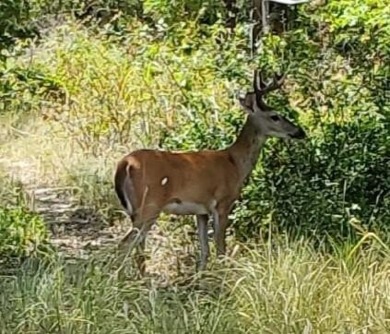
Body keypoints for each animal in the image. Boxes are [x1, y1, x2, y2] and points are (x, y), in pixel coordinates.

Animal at [114, 69, 306, 276]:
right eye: (275, 116)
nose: (300, 132)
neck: (235, 163)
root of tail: (125, 164)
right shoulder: (223, 202)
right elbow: (220, 247)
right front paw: (223, 277)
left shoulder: (201, 211)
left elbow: (204, 249)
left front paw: (201, 277)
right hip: (149, 204)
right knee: (124, 245)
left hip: (135, 210)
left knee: (138, 247)